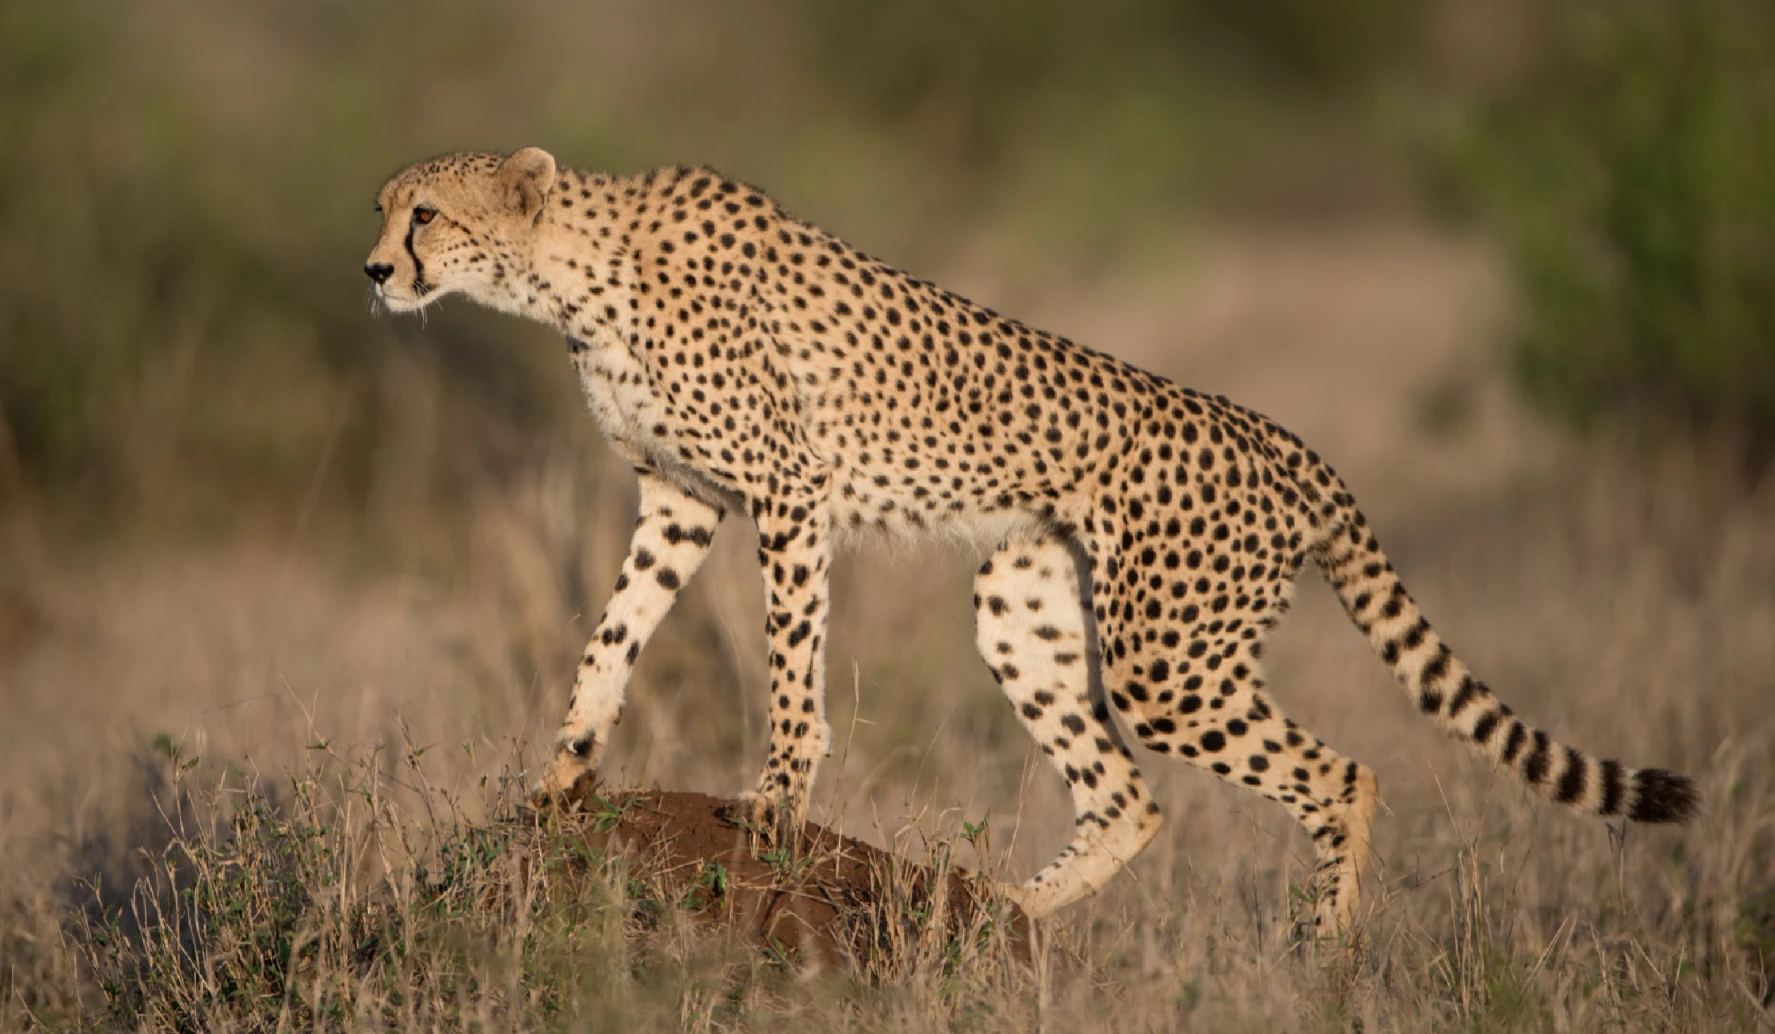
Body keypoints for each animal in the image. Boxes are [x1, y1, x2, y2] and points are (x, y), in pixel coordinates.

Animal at [363, 149, 1704, 936]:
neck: (576, 275)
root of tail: (1292, 443)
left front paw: (775, 805)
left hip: (1166, 658)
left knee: (1342, 772)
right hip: (1024, 609)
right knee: (1130, 796)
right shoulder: (677, 498)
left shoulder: (786, 493)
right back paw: (1013, 908)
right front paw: (562, 772)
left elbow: (790, 664)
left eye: (425, 211)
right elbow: (613, 633)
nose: (374, 269)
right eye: (382, 208)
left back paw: (1320, 955)